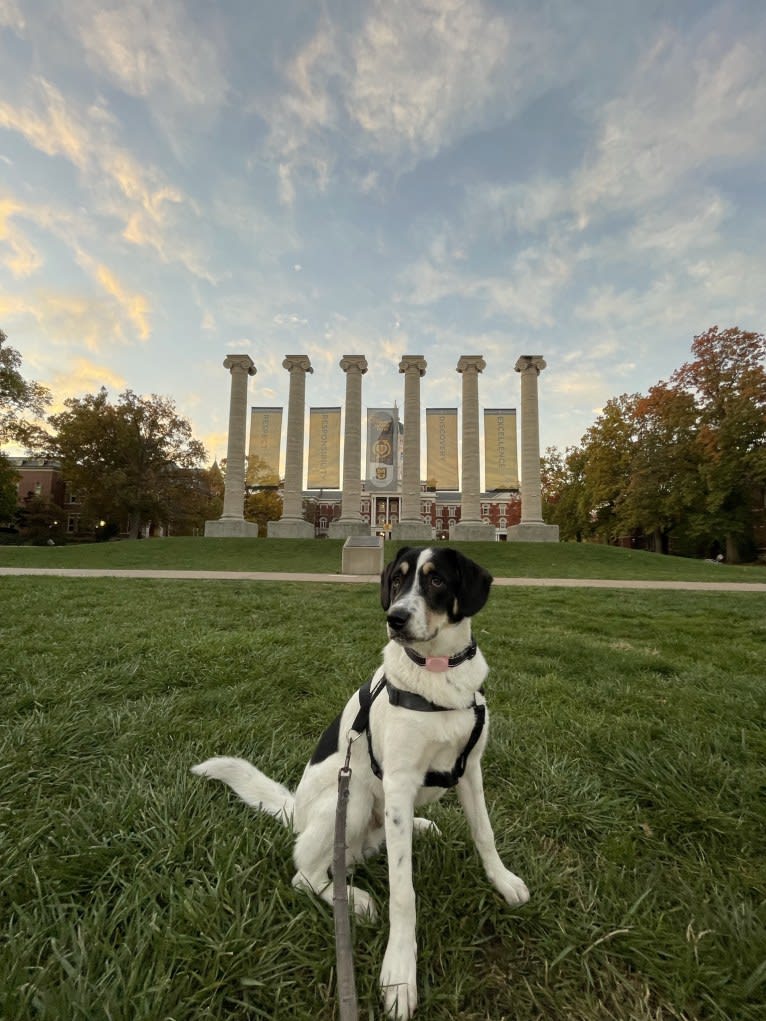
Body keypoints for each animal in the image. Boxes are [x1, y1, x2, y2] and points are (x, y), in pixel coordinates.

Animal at [192, 547, 527, 1016]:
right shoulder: (399, 782)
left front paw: (502, 880)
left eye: (437, 580)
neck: (438, 672)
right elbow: (404, 893)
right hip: (350, 802)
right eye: (398, 580)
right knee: (306, 873)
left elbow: (485, 834)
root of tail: (295, 810)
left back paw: (417, 830)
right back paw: (356, 900)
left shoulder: (471, 767)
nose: (395, 618)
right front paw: (400, 973)